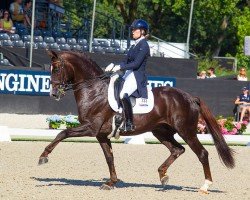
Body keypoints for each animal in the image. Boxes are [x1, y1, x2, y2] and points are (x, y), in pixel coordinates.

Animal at [38, 50, 234, 193]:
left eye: (57, 68)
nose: (53, 94)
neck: (94, 91)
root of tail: (190, 97)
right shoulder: (101, 134)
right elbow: (109, 157)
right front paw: (111, 182)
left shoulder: (91, 128)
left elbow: (63, 132)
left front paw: (43, 156)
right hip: (161, 131)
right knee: (177, 150)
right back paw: (162, 175)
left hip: (186, 131)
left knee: (202, 153)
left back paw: (205, 185)